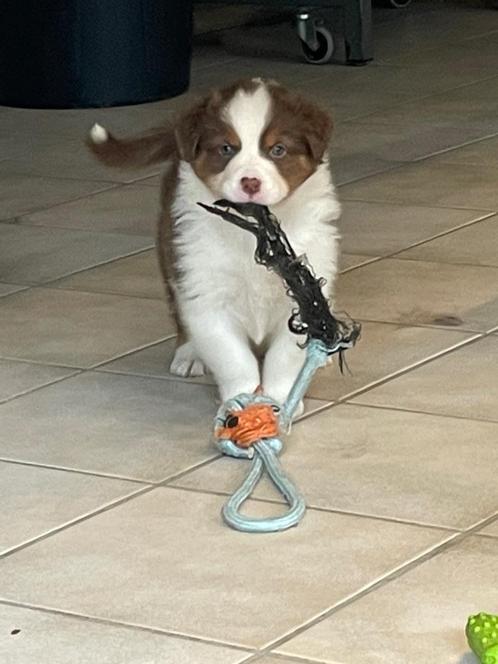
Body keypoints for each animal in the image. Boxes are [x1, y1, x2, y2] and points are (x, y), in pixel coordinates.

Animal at [88, 76, 338, 410]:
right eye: (226, 148)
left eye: (278, 150)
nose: (250, 182)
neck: (251, 233)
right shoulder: (206, 291)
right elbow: (232, 356)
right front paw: (241, 401)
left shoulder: (303, 291)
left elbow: (284, 357)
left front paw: (281, 400)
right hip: (172, 253)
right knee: (180, 312)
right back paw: (189, 354)